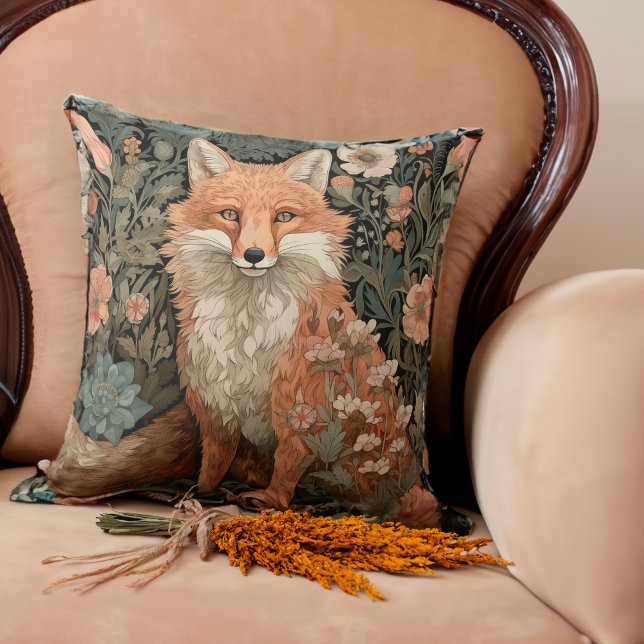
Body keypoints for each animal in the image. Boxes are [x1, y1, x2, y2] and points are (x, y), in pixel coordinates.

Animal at [159, 139, 395, 509]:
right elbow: (212, 464)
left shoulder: (299, 408)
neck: (246, 328)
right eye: (230, 214)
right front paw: (203, 492)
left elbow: (288, 461)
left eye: (283, 217)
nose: (254, 255)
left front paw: (272, 500)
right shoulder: (215, 406)